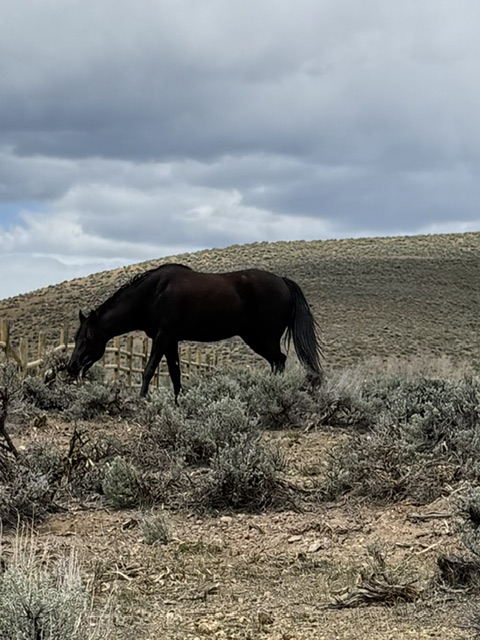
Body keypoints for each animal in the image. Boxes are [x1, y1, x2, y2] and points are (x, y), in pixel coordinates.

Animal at [67, 263, 323, 401]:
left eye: (88, 337)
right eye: (75, 337)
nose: (71, 366)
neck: (152, 293)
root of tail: (283, 281)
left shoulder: (162, 337)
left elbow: (149, 369)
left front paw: (141, 398)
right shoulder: (171, 341)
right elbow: (175, 374)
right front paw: (177, 401)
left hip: (263, 338)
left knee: (279, 360)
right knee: (277, 361)